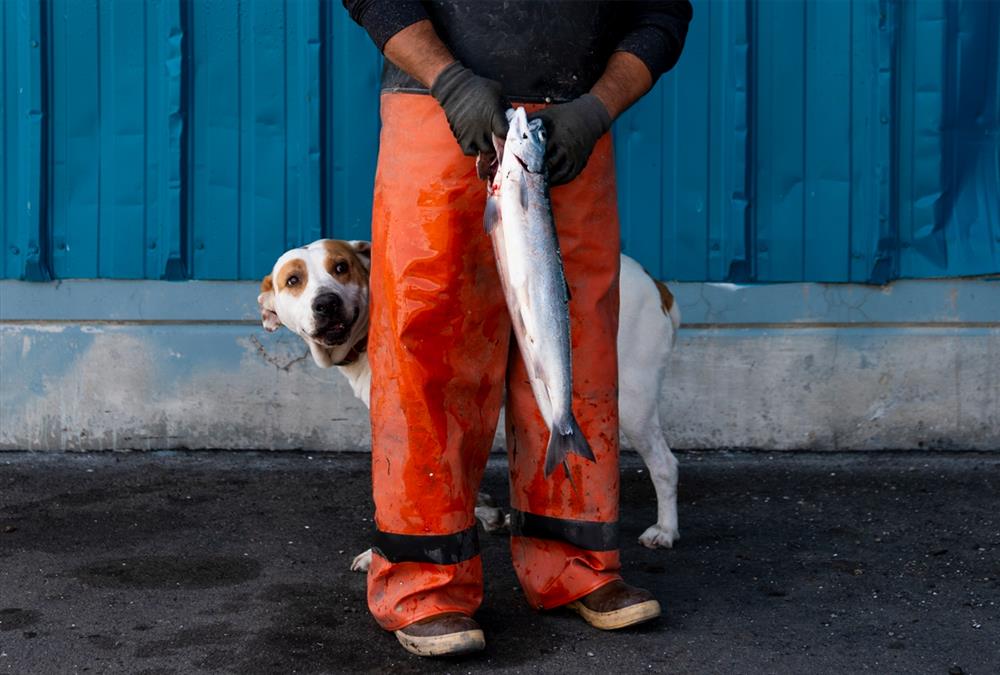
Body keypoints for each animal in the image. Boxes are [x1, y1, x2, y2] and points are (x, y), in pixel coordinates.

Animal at [258, 239, 684, 572]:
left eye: (340, 267)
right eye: (293, 281)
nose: (326, 303)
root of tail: (657, 283)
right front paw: (486, 513)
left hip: (631, 399)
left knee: (665, 464)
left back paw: (665, 530)